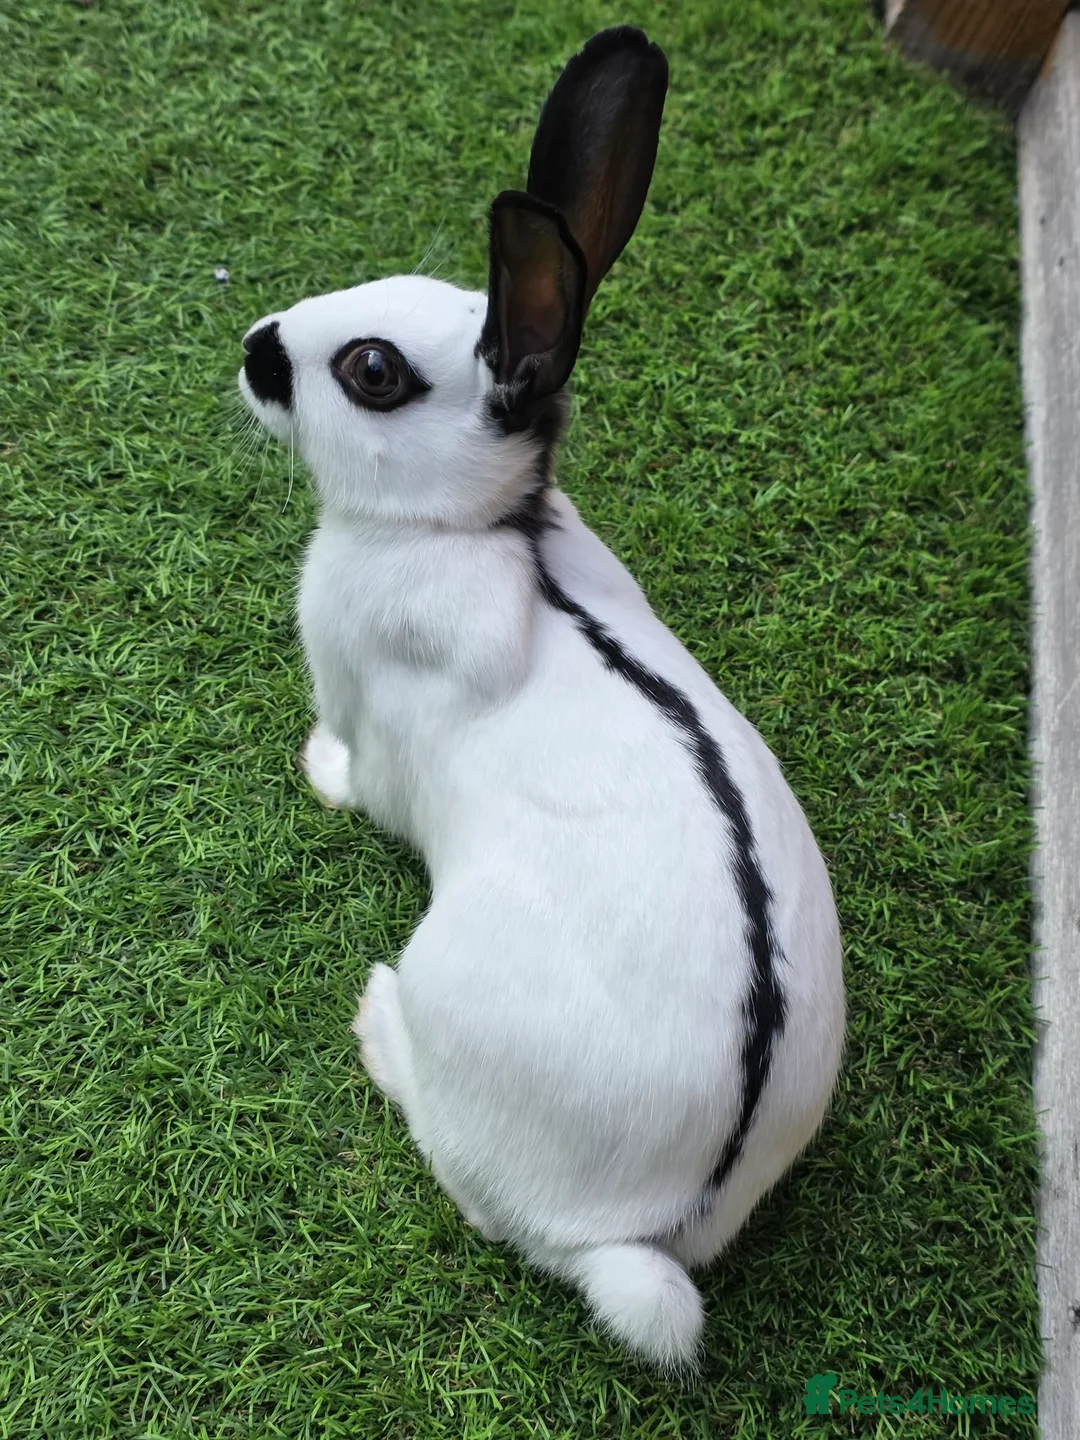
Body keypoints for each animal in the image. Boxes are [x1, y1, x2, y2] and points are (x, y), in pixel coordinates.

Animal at [237, 26, 845, 1371]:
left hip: (456, 1001)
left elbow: (358, 771)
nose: (255, 344)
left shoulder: (373, 712)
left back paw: (378, 1024)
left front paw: (314, 770)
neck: (473, 530)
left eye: (370, 372)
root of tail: (640, 1230)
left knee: (475, 1188)